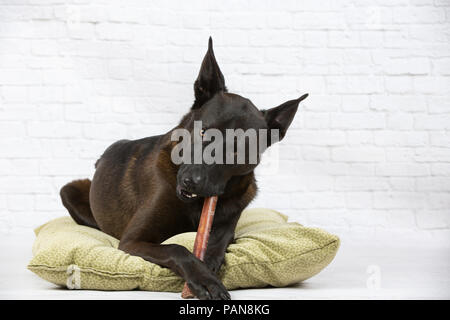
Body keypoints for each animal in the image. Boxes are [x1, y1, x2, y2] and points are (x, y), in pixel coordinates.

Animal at [59, 38, 308, 300]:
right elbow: (176, 248)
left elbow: (218, 242)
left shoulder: (229, 223)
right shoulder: (132, 241)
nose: (192, 181)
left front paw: (209, 265)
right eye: (203, 132)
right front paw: (204, 280)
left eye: (236, 150)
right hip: (70, 191)